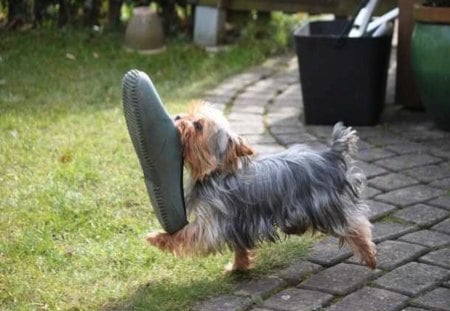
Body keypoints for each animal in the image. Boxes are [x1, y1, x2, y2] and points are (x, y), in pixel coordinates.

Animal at [147, 105, 376, 270]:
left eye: (198, 126)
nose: (177, 116)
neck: (214, 172)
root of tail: (329, 155)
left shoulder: (211, 221)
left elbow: (187, 234)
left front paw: (156, 237)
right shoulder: (237, 222)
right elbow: (239, 248)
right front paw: (237, 267)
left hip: (325, 205)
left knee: (354, 224)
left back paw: (369, 256)